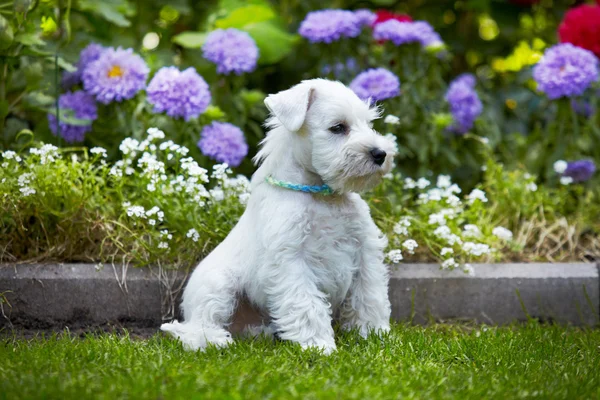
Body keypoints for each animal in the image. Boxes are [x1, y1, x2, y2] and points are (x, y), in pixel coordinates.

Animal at [162, 78, 396, 354]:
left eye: (369, 123)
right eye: (338, 127)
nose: (380, 154)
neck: (321, 195)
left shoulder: (365, 251)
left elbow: (369, 295)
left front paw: (374, 334)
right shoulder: (292, 260)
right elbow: (306, 303)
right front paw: (318, 345)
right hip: (217, 286)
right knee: (195, 327)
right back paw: (216, 340)